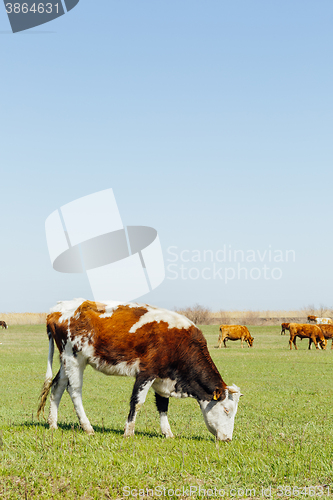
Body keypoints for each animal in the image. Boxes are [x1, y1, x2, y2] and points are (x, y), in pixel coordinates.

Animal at [37, 298, 241, 440]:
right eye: (226, 410)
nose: (228, 439)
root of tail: (56, 310)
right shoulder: (146, 373)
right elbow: (137, 402)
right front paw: (128, 431)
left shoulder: (163, 378)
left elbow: (163, 405)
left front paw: (167, 433)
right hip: (74, 359)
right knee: (74, 390)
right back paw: (87, 427)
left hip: (66, 361)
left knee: (57, 387)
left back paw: (53, 424)